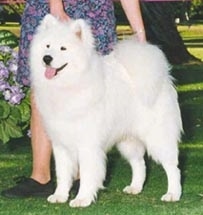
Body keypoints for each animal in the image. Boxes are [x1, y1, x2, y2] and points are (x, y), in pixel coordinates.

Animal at [29, 13, 182, 208]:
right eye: (47, 46)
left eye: (63, 48)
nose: (47, 58)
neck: (70, 83)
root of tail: (162, 78)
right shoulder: (60, 144)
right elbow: (62, 174)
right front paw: (60, 195)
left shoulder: (87, 144)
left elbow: (87, 174)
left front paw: (82, 198)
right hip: (127, 141)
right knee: (139, 163)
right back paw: (135, 187)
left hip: (157, 137)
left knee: (172, 166)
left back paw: (173, 194)